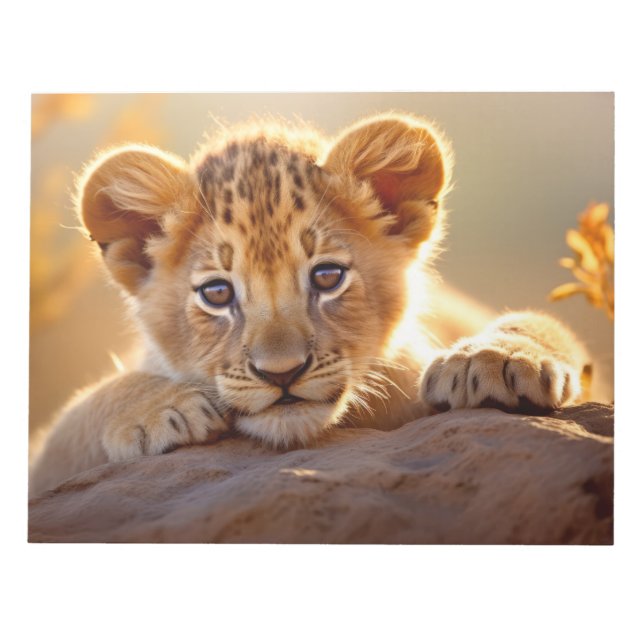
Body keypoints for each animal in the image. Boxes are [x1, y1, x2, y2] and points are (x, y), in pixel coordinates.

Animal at [29, 112, 589, 496]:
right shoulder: (48, 460)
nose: (282, 373)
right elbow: (71, 421)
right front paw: (160, 406)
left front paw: (497, 358)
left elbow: (545, 324)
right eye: (217, 293)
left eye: (327, 277)